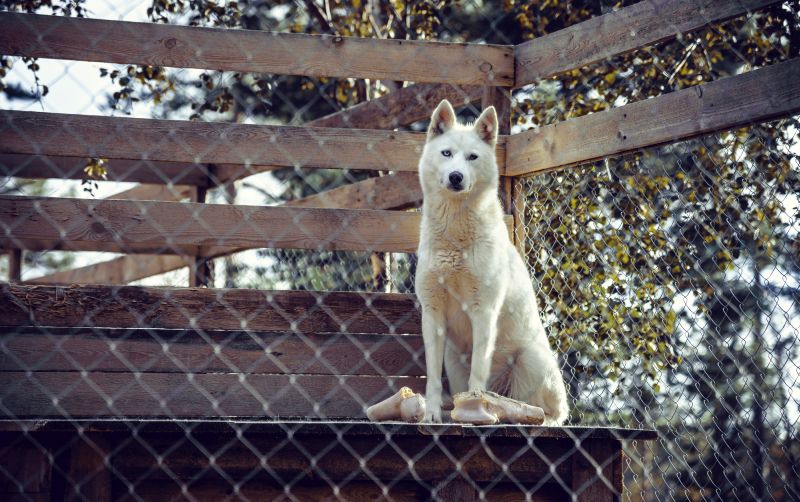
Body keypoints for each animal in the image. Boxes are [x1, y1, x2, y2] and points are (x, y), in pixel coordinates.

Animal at [416, 100, 564, 426]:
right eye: (447, 153)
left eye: (472, 157)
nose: (456, 177)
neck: (455, 235)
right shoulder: (432, 315)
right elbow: (431, 378)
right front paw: (431, 413)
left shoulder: (483, 311)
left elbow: (477, 375)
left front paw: (473, 409)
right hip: (453, 360)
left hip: (531, 357)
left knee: (547, 413)